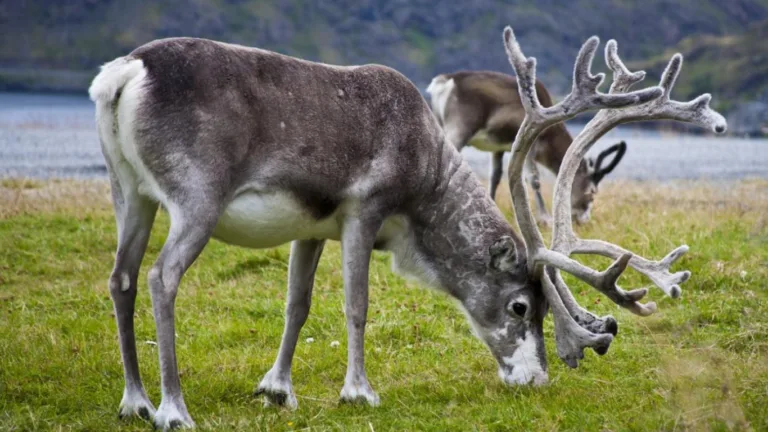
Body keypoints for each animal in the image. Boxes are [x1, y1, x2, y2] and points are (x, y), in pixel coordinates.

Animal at [426, 70, 627, 226]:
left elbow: (495, 177)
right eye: (592, 192)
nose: (583, 220)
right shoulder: (532, 143)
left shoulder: (498, 148)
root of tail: (444, 82)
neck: (550, 138)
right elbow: (533, 179)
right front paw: (545, 218)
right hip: (460, 127)